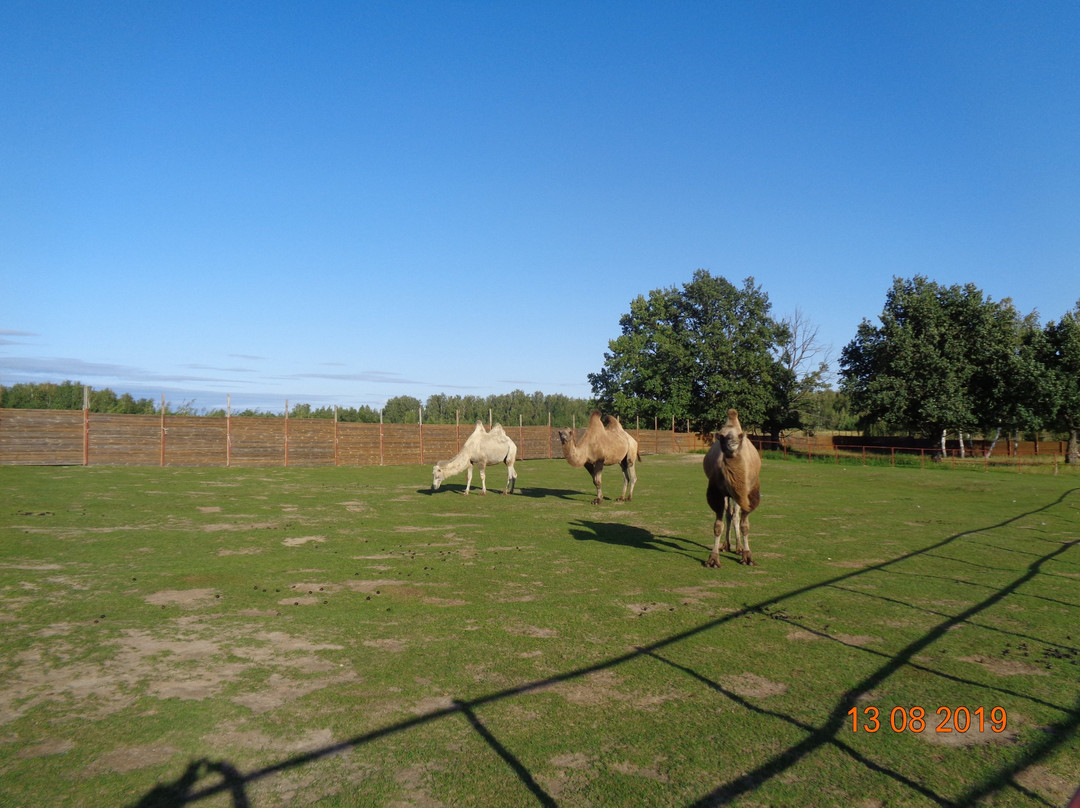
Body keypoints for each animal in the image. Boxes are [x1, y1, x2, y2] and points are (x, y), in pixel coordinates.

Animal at [704, 406, 764, 566]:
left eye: (740, 436)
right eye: (722, 436)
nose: (732, 443)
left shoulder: (747, 494)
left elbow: (745, 525)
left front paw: (747, 556)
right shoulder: (717, 492)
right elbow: (718, 526)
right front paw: (713, 559)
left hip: (737, 495)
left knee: (735, 515)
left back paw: (738, 547)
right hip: (728, 494)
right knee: (729, 514)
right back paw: (726, 545)